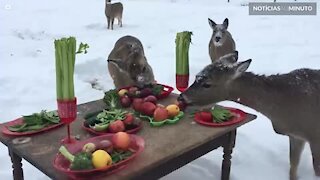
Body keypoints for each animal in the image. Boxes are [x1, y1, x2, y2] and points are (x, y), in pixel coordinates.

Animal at [178, 51, 320, 179]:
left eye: (207, 84)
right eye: (196, 77)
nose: (181, 97)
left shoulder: (315, 135)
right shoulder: (296, 136)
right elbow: (293, 166)